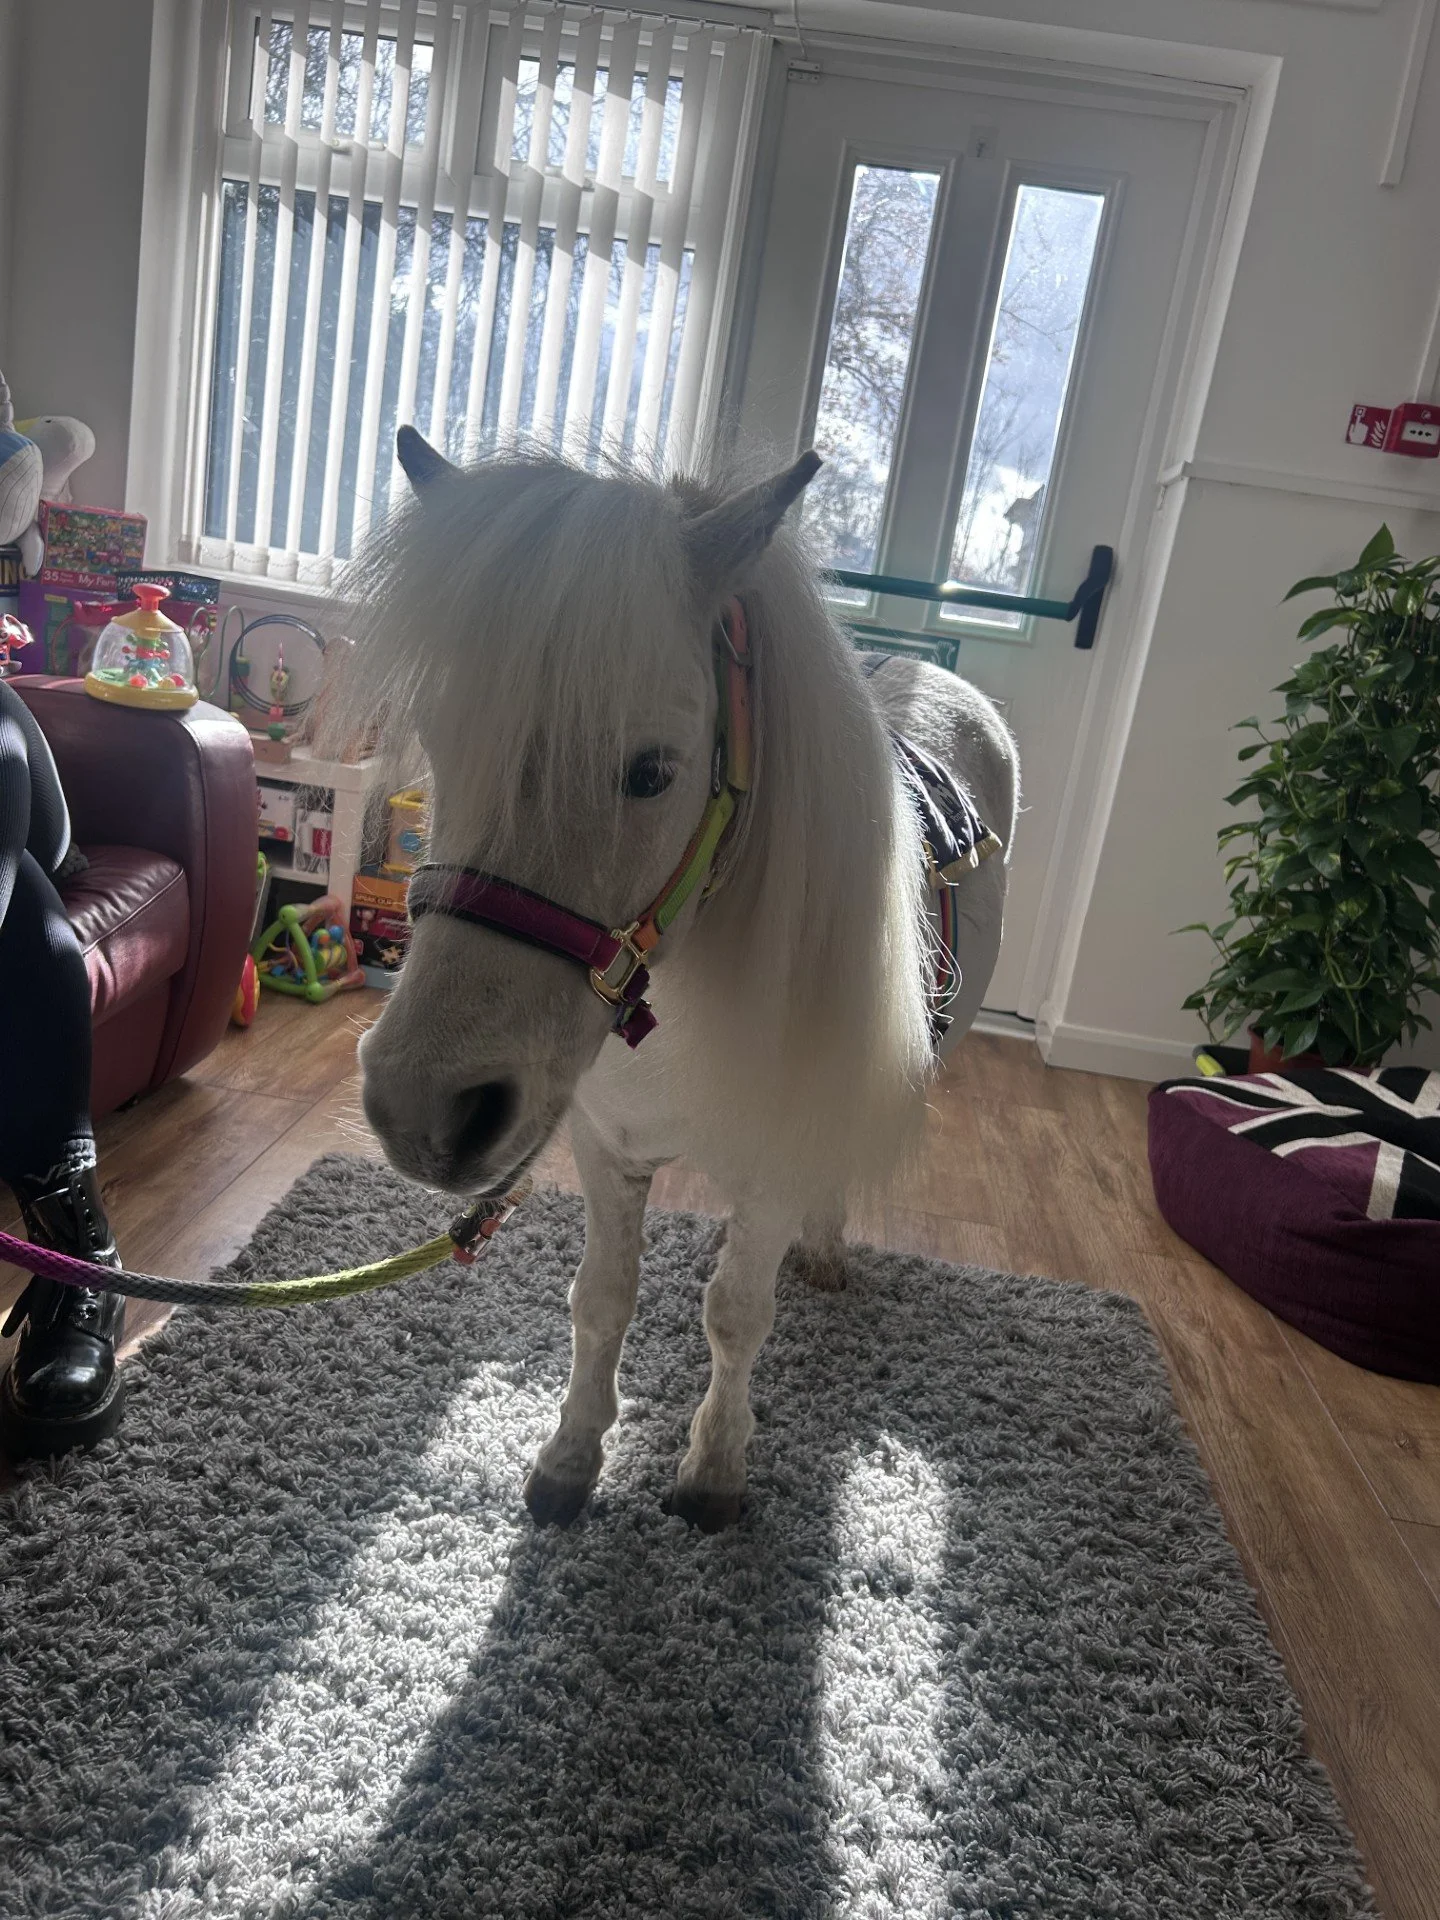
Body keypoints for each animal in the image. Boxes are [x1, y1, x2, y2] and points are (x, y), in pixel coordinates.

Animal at [337, 427, 1019, 1532]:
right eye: (441, 742)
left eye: (652, 771)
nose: (423, 1110)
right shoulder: (605, 1146)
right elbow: (601, 1300)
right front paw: (571, 1458)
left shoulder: (777, 1157)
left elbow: (737, 1313)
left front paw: (714, 1470)